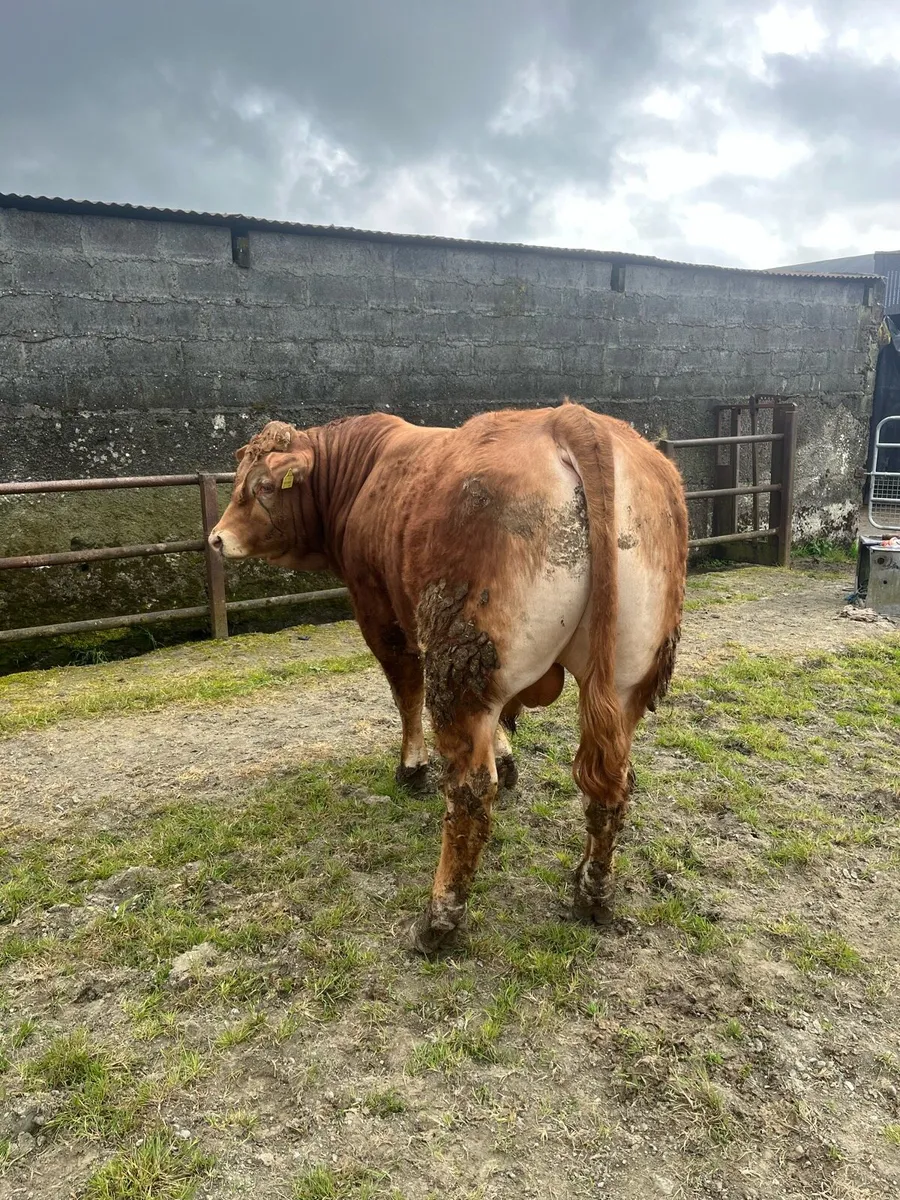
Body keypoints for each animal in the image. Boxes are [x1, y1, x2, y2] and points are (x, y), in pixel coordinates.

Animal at [208, 401, 688, 954]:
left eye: (263, 484)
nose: (216, 537)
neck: (365, 471)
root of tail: (572, 419)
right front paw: (508, 754)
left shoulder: (381, 614)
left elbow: (405, 691)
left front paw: (411, 768)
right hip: (627, 680)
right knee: (611, 783)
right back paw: (592, 893)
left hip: (459, 663)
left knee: (470, 792)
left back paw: (439, 919)